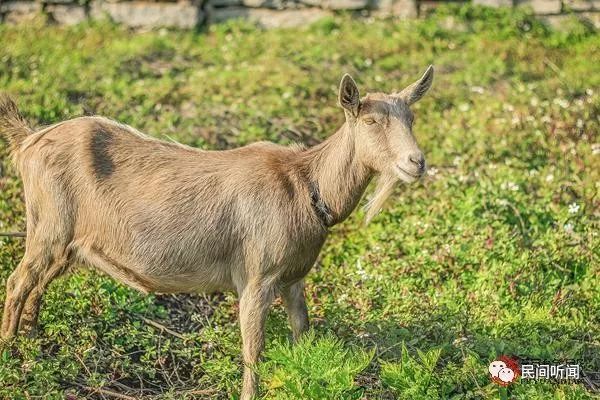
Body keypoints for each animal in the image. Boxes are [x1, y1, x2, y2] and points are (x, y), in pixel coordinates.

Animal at [0, 67, 432, 398]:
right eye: (371, 121)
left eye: (411, 119)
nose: (417, 162)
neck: (305, 185)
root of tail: (28, 141)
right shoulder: (257, 276)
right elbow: (253, 349)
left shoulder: (294, 277)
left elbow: (302, 332)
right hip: (49, 226)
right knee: (18, 280)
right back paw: (10, 352)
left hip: (67, 240)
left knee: (39, 283)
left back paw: (34, 342)